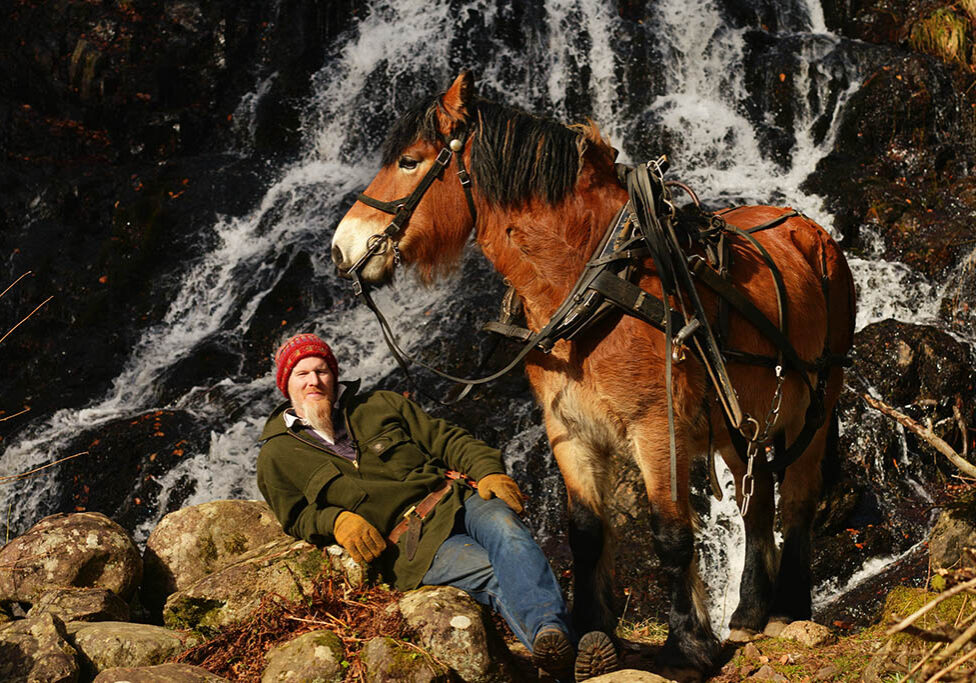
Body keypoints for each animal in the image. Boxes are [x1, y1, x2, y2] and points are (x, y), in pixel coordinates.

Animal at [334, 71, 856, 680]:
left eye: (410, 161)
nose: (341, 247)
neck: (596, 283)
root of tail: (809, 227)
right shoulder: (568, 429)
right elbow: (584, 532)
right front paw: (588, 632)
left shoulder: (658, 427)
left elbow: (671, 535)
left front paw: (687, 646)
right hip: (738, 423)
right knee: (758, 504)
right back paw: (749, 613)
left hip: (815, 404)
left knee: (796, 502)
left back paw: (790, 608)